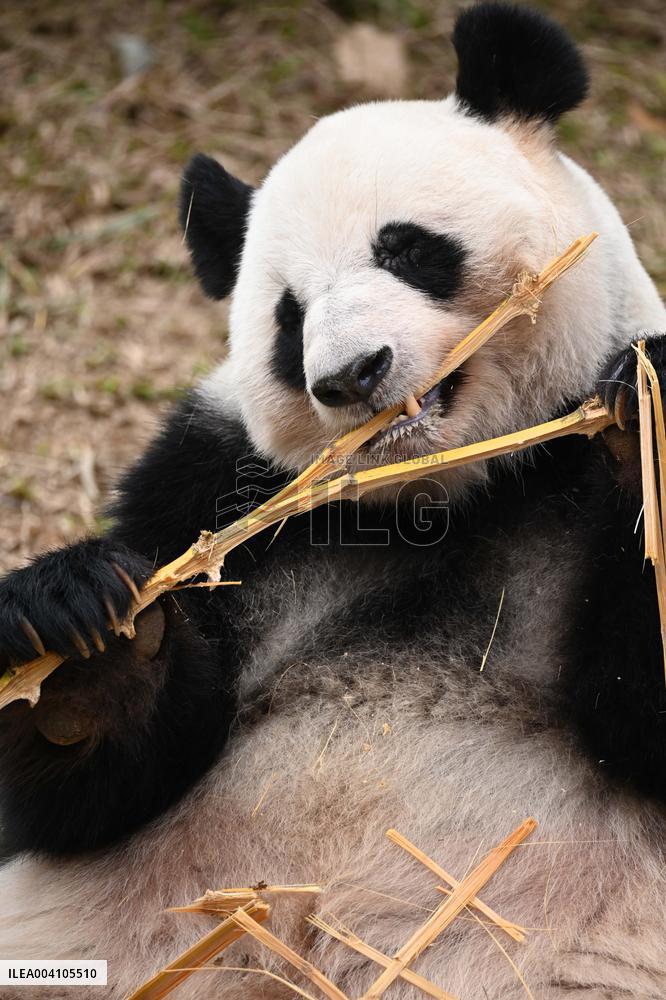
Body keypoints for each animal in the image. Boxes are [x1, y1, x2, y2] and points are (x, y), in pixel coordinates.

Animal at [1, 3, 666, 997]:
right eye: (288, 315)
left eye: (407, 249)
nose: (351, 375)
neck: (433, 499)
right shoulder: (208, 484)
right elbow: (95, 795)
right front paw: (88, 642)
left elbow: (643, 715)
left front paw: (641, 413)